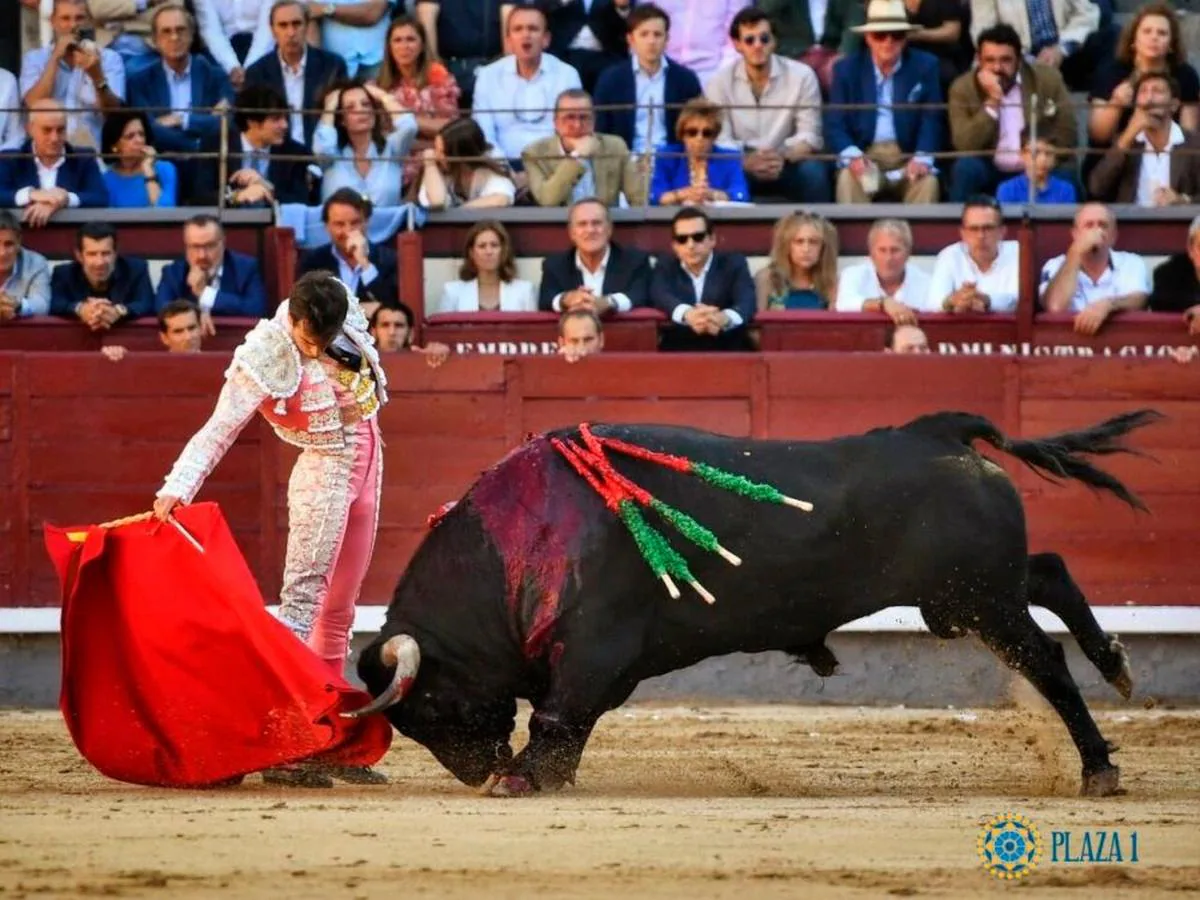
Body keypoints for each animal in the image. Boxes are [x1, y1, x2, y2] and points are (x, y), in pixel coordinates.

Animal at [350, 412, 1161, 801]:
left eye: (428, 706)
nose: (474, 773)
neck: (517, 543)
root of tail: (939, 431)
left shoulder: (591, 652)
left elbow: (559, 716)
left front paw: (521, 777)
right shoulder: (602, 671)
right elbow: (571, 727)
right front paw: (543, 775)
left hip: (979, 598)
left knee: (1044, 659)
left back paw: (1098, 768)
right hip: (968, 595)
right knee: (1051, 573)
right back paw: (1116, 665)